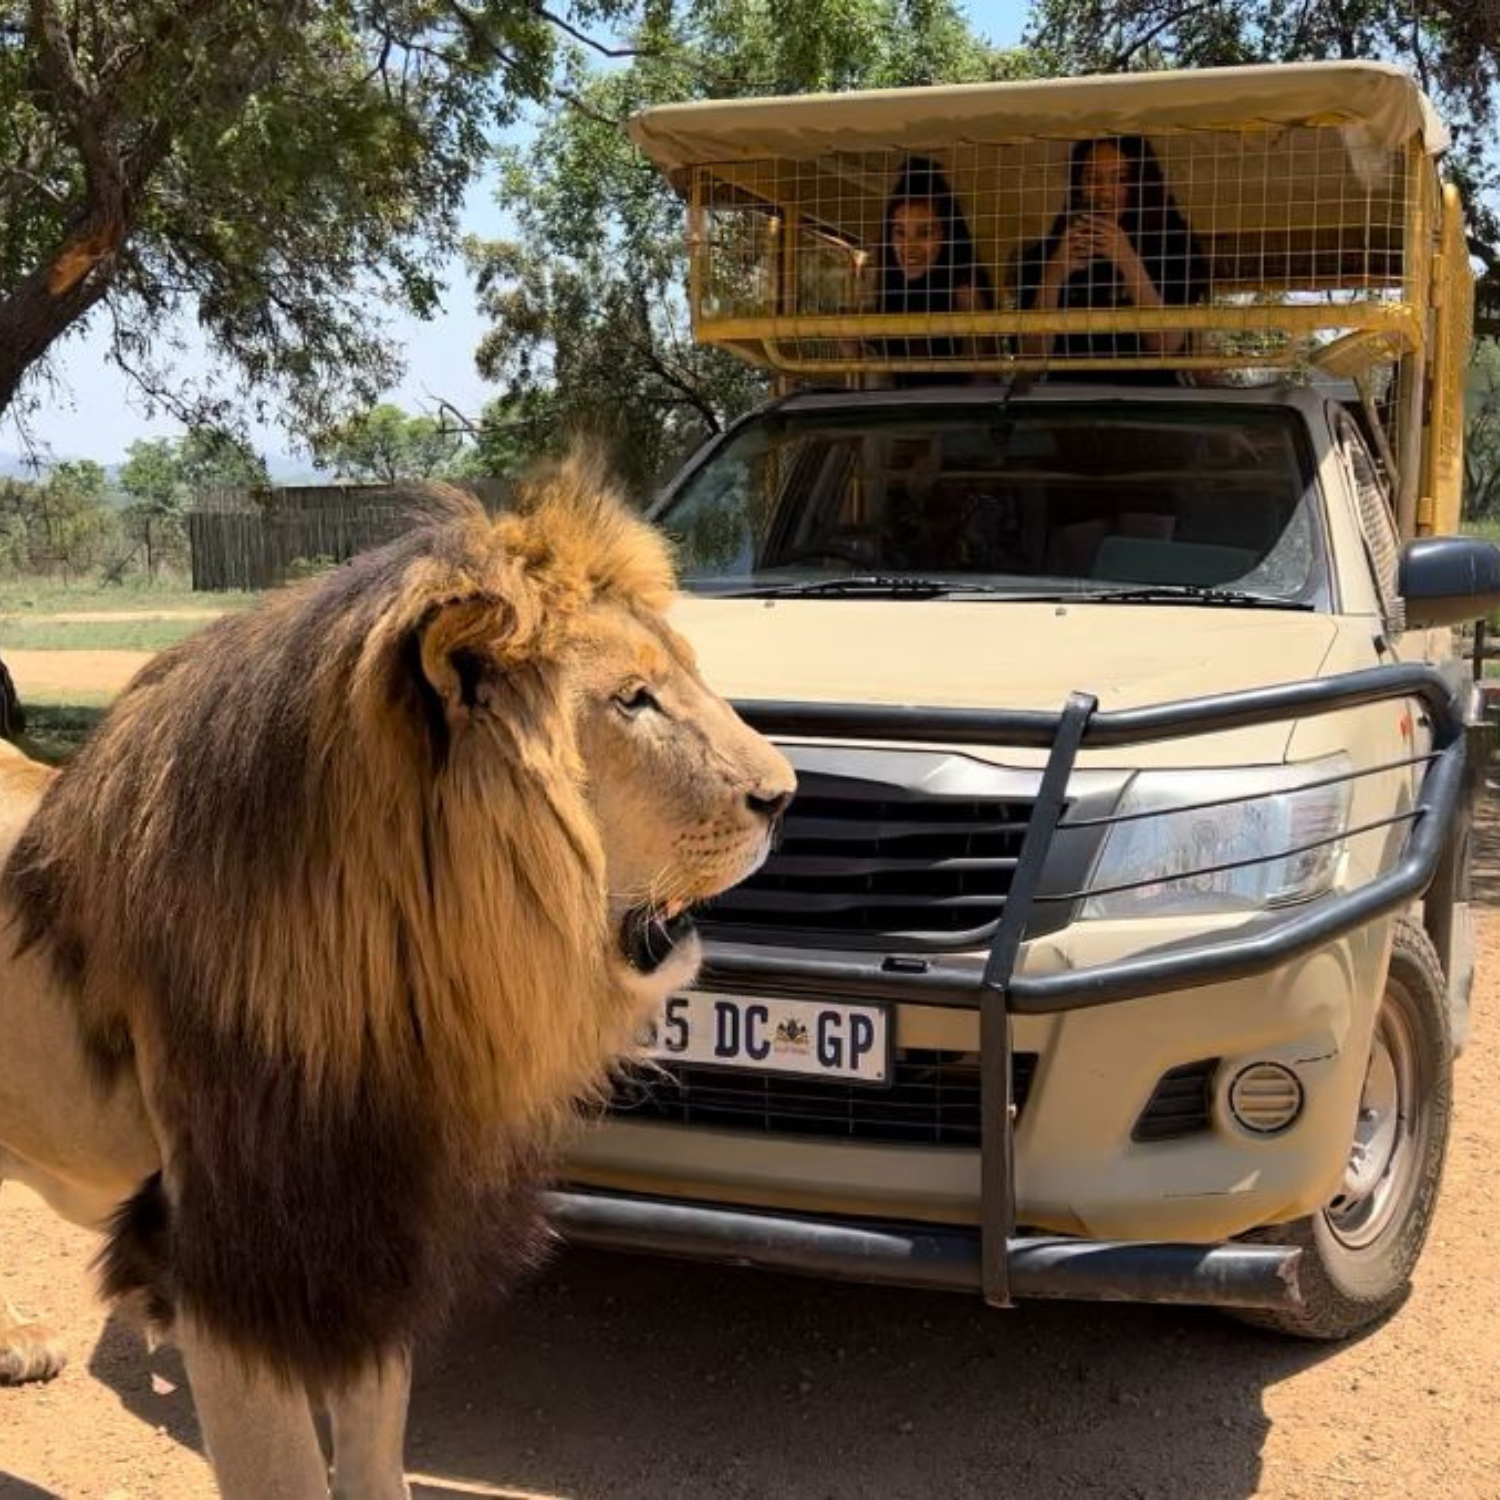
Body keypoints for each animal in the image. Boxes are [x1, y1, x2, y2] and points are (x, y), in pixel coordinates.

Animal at [0, 454, 794, 1498]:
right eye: (633, 700)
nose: (787, 796)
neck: (408, 982)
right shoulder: (236, 1272)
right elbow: (288, 1477)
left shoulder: (378, 1233)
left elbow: (376, 1458)